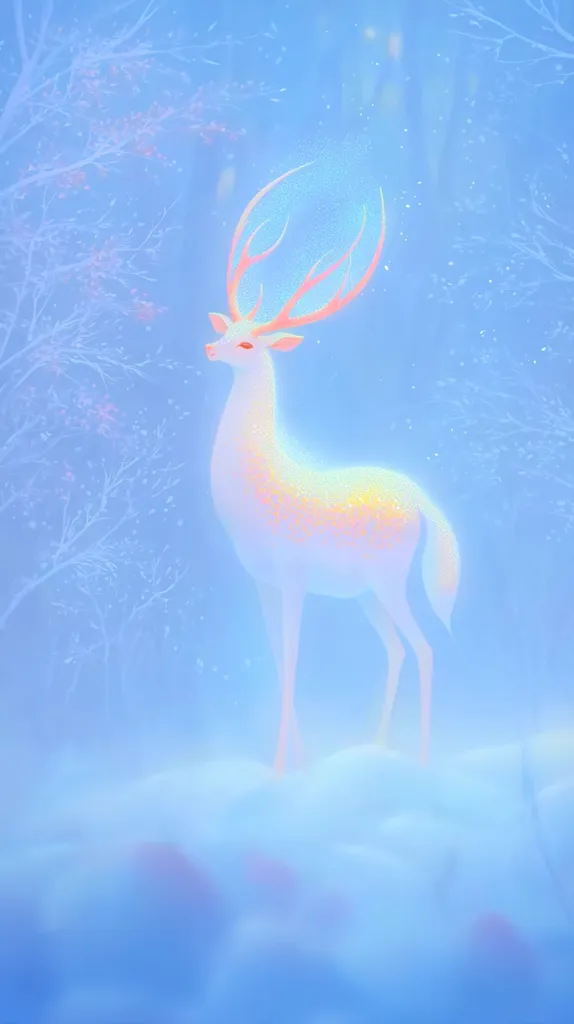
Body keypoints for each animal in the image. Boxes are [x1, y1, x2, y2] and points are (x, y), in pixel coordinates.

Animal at [205, 163, 460, 774]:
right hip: (367, 593)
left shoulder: (294, 575)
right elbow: (278, 663)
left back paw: (420, 759)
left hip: (389, 578)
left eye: (247, 343)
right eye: (226, 330)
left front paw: (279, 770)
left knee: (424, 647)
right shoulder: (262, 581)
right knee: (395, 650)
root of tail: (420, 497)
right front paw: (294, 762)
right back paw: (375, 748)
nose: (210, 348)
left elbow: (295, 660)